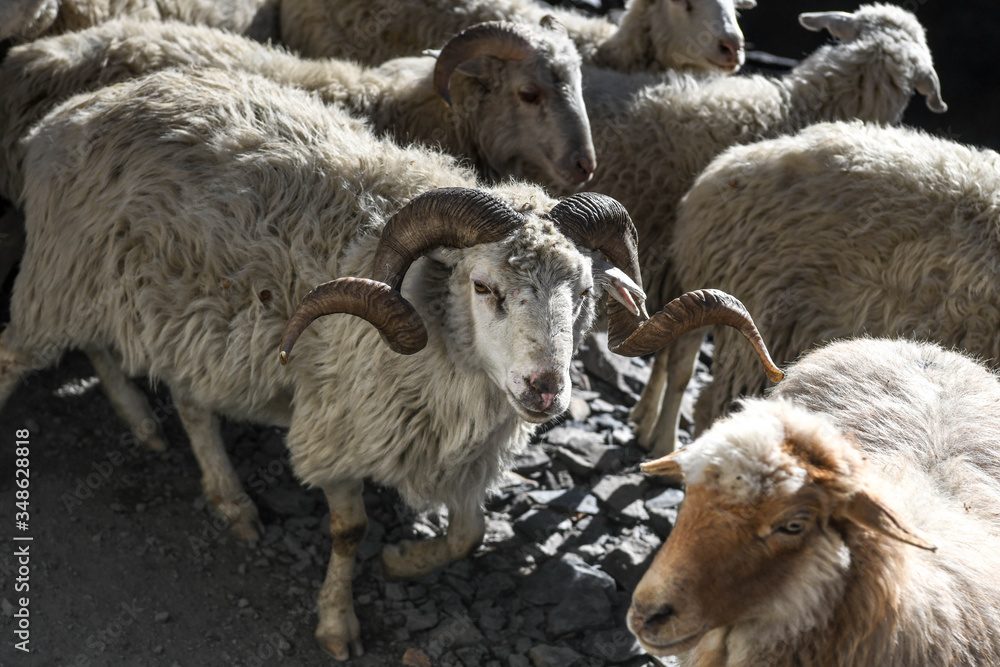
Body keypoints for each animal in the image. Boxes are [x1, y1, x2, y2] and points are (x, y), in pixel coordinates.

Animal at [0, 65, 781, 659]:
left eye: (585, 294)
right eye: (484, 287)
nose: (544, 390)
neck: (442, 341)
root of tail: (64, 117)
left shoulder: (457, 452)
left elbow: (468, 534)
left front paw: (405, 562)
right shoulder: (338, 428)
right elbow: (348, 533)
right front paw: (338, 622)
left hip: (168, 318)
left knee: (167, 387)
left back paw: (195, 467)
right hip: (61, 278)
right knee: (23, 352)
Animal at [562, 4, 947, 455]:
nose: (733, 47)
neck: (789, 108)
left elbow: (667, 354)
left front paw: (645, 422)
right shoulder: (694, 262)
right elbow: (681, 363)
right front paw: (661, 440)